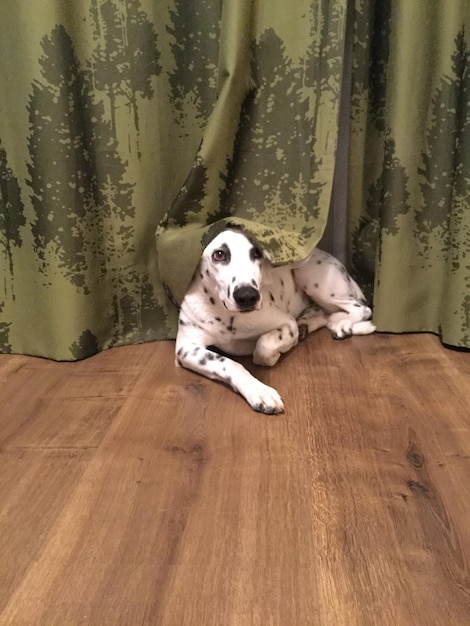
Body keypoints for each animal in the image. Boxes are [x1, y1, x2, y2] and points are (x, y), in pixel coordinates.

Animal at [174, 227, 376, 412]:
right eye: (219, 254)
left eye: (257, 253)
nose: (247, 296)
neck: (229, 317)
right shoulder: (186, 348)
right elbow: (229, 363)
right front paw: (258, 391)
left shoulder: (286, 323)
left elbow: (263, 346)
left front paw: (270, 357)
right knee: (324, 314)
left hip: (311, 278)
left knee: (361, 308)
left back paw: (342, 324)